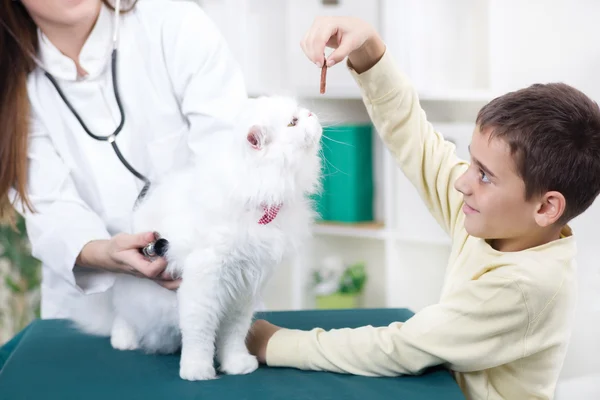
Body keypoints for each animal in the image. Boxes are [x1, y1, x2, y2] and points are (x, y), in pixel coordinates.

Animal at [70, 96, 324, 382]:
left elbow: (233, 335)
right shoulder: (205, 282)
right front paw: (197, 370)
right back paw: (124, 340)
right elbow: (199, 333)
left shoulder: (243, 288)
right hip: (134, 295)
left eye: (301, 113)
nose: (311, 113)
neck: (259, 196)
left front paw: (236, 365)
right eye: (293, 122)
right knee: (123, 316)